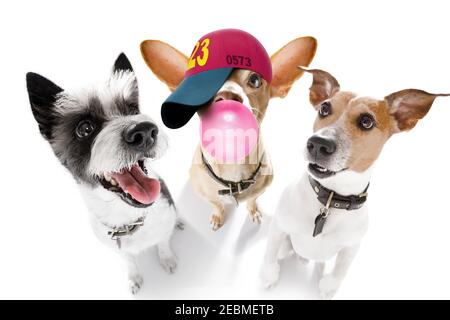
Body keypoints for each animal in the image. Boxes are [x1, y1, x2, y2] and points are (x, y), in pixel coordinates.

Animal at [26, 53, 179, 296]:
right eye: (85, 128)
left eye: (132, 110)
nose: (145, 131)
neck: (127, 220)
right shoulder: (118, 250)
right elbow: (129, 261)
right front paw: (134, 278)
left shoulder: (164, 224)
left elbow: (163, 243)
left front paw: (167, 259)